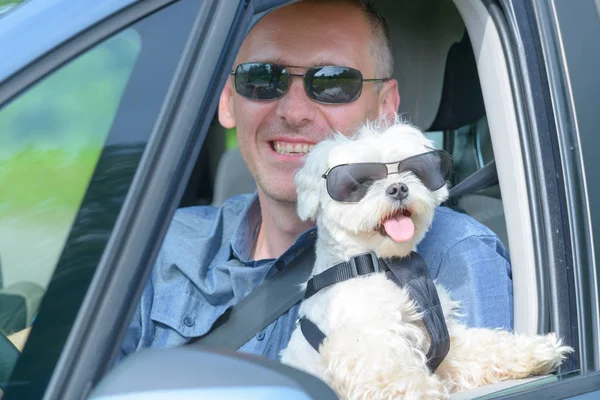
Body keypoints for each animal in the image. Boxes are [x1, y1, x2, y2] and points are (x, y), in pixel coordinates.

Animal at [282, 121, 572, 400]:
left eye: (413, 171)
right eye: (360, 181)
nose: (399, 188)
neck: (378, 263)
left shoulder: (440, 335)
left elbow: (481, 345)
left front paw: (530, 351)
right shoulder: (363, 341)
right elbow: (392, 373)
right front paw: (421, 391)